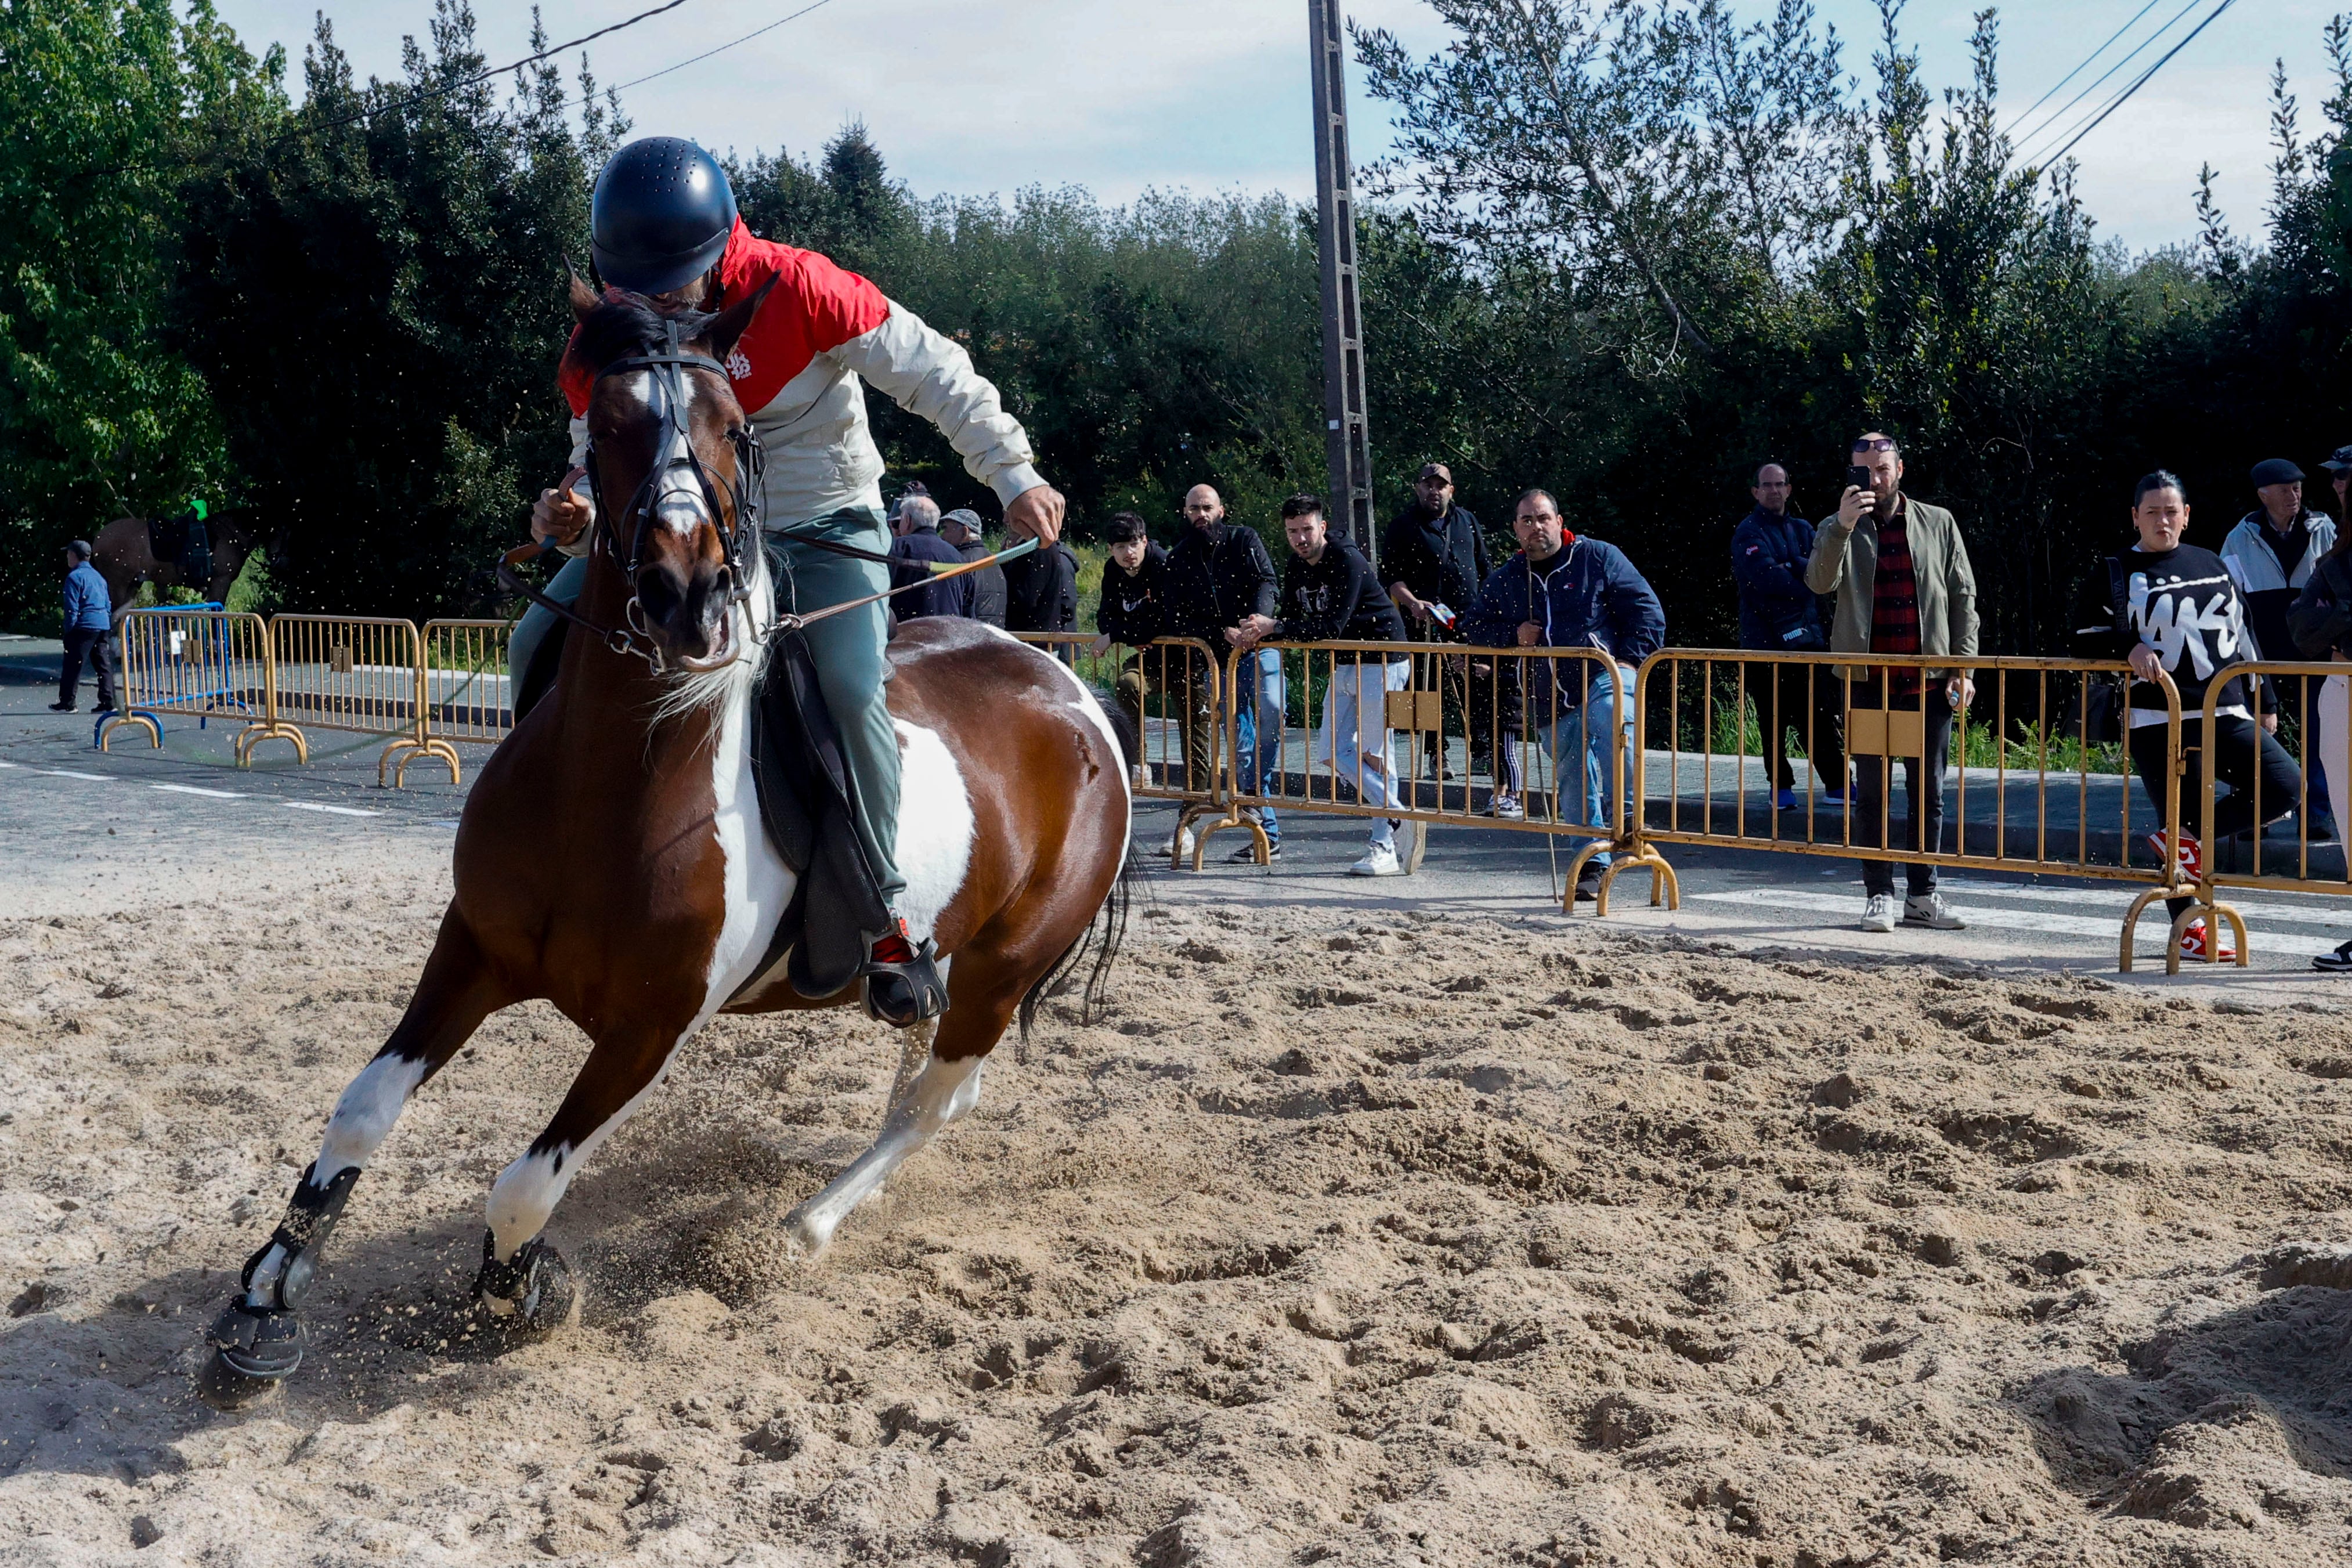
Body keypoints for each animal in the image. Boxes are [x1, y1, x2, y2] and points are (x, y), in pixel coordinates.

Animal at [197, 282, 1133, 1410]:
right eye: (605, 427)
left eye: (732, 426)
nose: (685, 591)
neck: (617, 779)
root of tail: (1071, 690)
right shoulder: (472, 951)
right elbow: (361, 1112)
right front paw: (264, 1300)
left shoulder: (651, 1026)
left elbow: (525, 1182)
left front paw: (524, 1286)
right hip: (951, 964)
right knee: (927, 1082)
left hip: (1002, 971)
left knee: (936, 1102)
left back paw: (805, 1226)